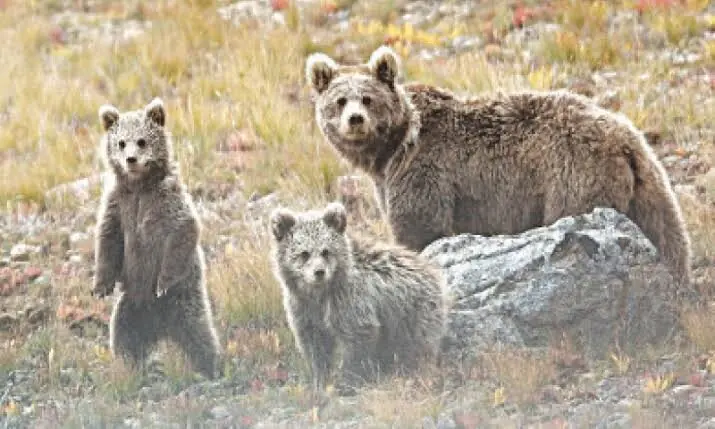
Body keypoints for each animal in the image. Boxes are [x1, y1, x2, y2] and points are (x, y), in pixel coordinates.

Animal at [92, 98, 221, 379]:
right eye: (121, 142)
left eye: (142, 140)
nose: (131, 159)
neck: (139, 186)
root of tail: (161, 328)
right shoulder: (118, 203)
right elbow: (108, 237)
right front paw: (100, 286)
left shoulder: (166, 199)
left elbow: (183, 229)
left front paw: (162, 282)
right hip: (129, 306)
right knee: (123, 337)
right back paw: (132, 367)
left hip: (184, 303)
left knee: (200, 334)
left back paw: (211, 368)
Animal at [269, 202, 448, 395]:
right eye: (304, 253)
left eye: (326, 251)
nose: (319, 272)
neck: (319, 293)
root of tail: (431, 271)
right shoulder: (303, 307)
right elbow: (316, 345)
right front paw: (320, 381)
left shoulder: (350, 300)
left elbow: (357, 338)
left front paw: (347, 382)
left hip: (412, 313)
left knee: (417, 346)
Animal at [305, 45, 692, 287]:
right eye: (339, 101)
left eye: (367, 98)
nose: (355, 120)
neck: (391, 150)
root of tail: (623, 140)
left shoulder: (423, 170)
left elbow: (421, 226)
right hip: (648, 180)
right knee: (667, 229)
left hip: (572, 176)